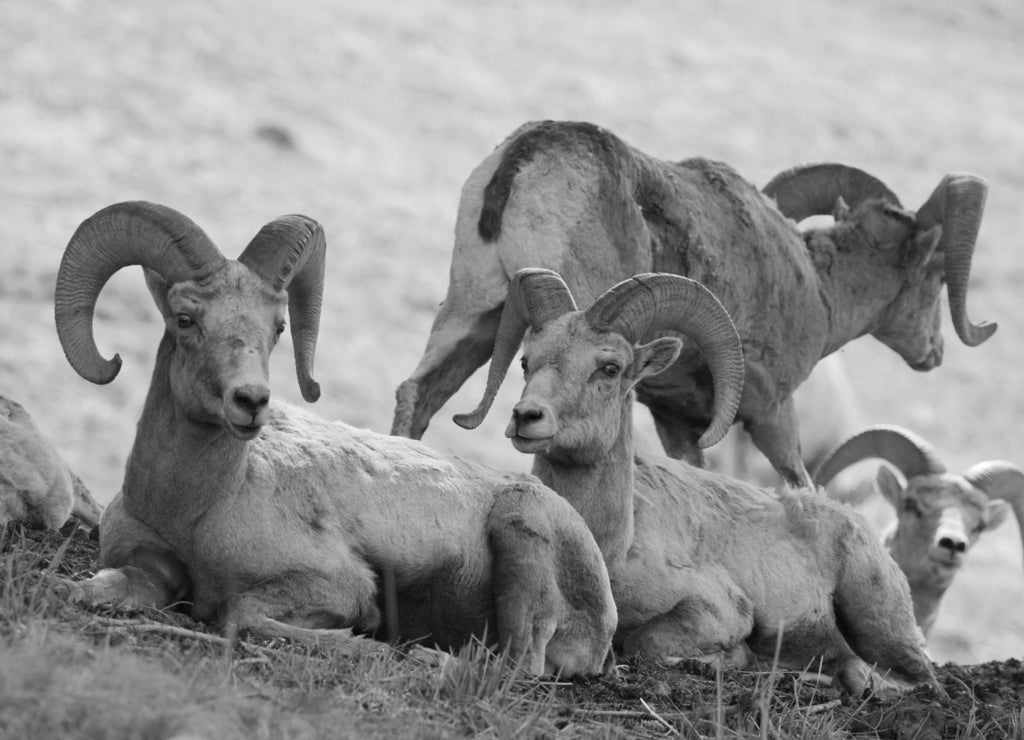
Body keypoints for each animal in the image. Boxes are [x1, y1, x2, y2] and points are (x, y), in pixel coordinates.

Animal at [58, 201, 617, 676]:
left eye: (277, 327)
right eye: (185, 318)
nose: (251, 401)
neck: (195, 509)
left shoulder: (339, 586)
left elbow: (241, 614)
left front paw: (365, 643)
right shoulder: (150, 564)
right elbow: (107, 587)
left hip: (519, 526)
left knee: (519, 666)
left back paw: (423, 657)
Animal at [391, 120, 995, 488]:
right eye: (937, 275)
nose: (934, 352)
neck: (818, 291)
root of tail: (527, 156)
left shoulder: (678, 420)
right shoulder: (771, 411)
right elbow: (800, 484)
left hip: (477, 313)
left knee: (417, 394)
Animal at [455, 267, 939, 697]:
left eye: (610, 368)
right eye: (526, 361)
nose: (526, 417)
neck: (614, 548)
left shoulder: (716, 608)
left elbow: (643, 642)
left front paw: (728, 660)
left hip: (877, 620)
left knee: (910, 677)